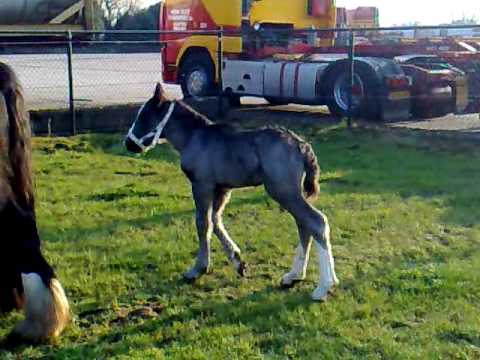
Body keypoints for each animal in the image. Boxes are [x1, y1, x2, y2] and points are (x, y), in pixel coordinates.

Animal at [125, 83, 340, 300]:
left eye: (144, 116)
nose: (129, 143)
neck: (194, 137)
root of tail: (301, 145)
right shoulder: (222, 188)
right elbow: (215, 220)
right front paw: (238, 262)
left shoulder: (202, 184)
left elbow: (202, 223)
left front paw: (197, 269)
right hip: (291, 192)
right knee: (304, 225)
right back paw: (294, 276)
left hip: (283, 190)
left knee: (316, 222)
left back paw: (323, 286)